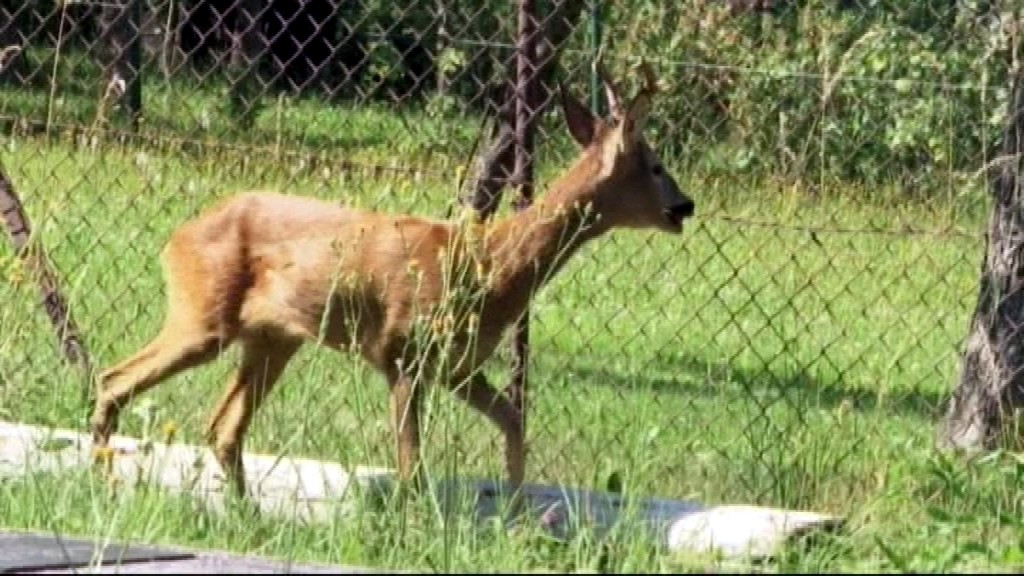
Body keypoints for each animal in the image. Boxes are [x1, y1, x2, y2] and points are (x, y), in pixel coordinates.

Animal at [88, 59, 696, 506]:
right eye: (655, 165)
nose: (685, 206)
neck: (489, 265)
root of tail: (176, 237)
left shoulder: (457, 365)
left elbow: (513, 421)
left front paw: (518, 510)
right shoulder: (404, 351)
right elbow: (411, 467)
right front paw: (416, 527)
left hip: (271, 337)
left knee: (222, 427)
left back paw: (245, 516)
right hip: (203, 313)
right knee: (115, 378)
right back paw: (104, 484)